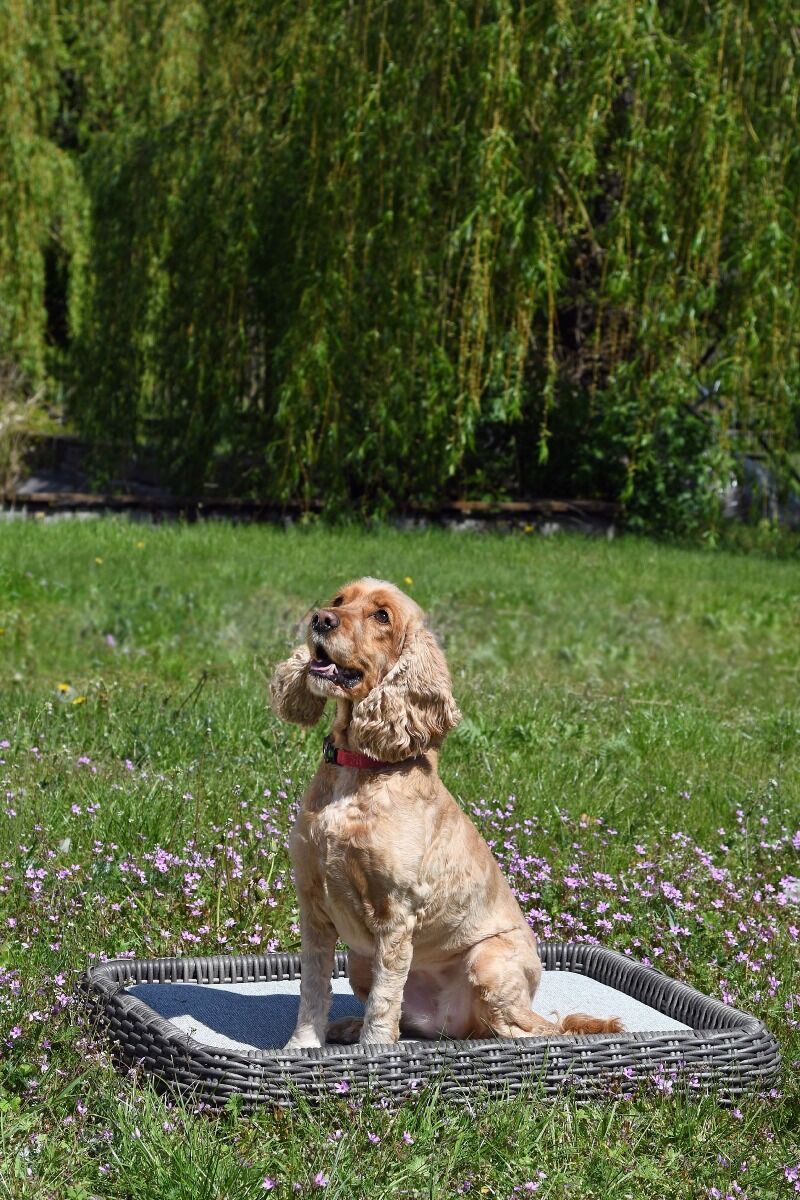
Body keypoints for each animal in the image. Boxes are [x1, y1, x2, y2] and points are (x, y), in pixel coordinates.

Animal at [267, 576, 618, 1046]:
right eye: (340, 599)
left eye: (382, 616)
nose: (320, 618)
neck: (359, 770)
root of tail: (450, 1023)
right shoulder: (312, 903)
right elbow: (313, 988)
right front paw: (303, 1046)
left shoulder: (396, 914)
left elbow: (384, 999)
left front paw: (373, 1052)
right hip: (358, 960)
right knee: (414, 1022)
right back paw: (352, 1025)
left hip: (488, 960)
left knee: (523, 1030)